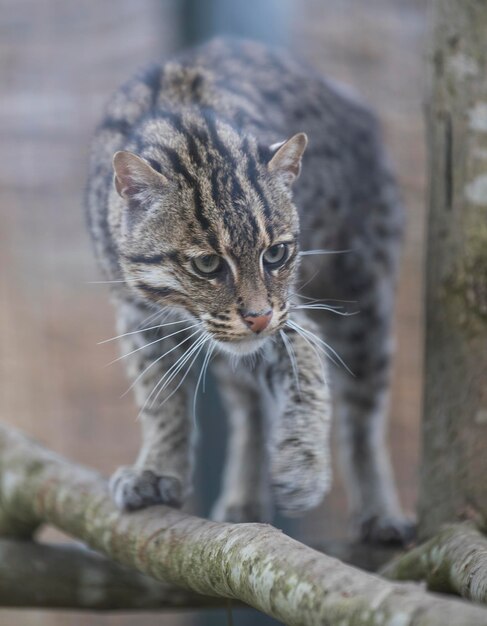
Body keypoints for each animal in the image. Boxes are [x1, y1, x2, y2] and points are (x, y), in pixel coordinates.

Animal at [86, 36, 414, 540]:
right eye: (207, 264)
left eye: (275, 254)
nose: (257, 317)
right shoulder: (140, 316)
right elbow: (160, 397)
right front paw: (158, 469)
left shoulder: (285, 313)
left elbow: (306, 363)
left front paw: (303, 466)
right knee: (248, 407)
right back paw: (244, 497)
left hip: (365, 296)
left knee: (364, 412)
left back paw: (379, 509)